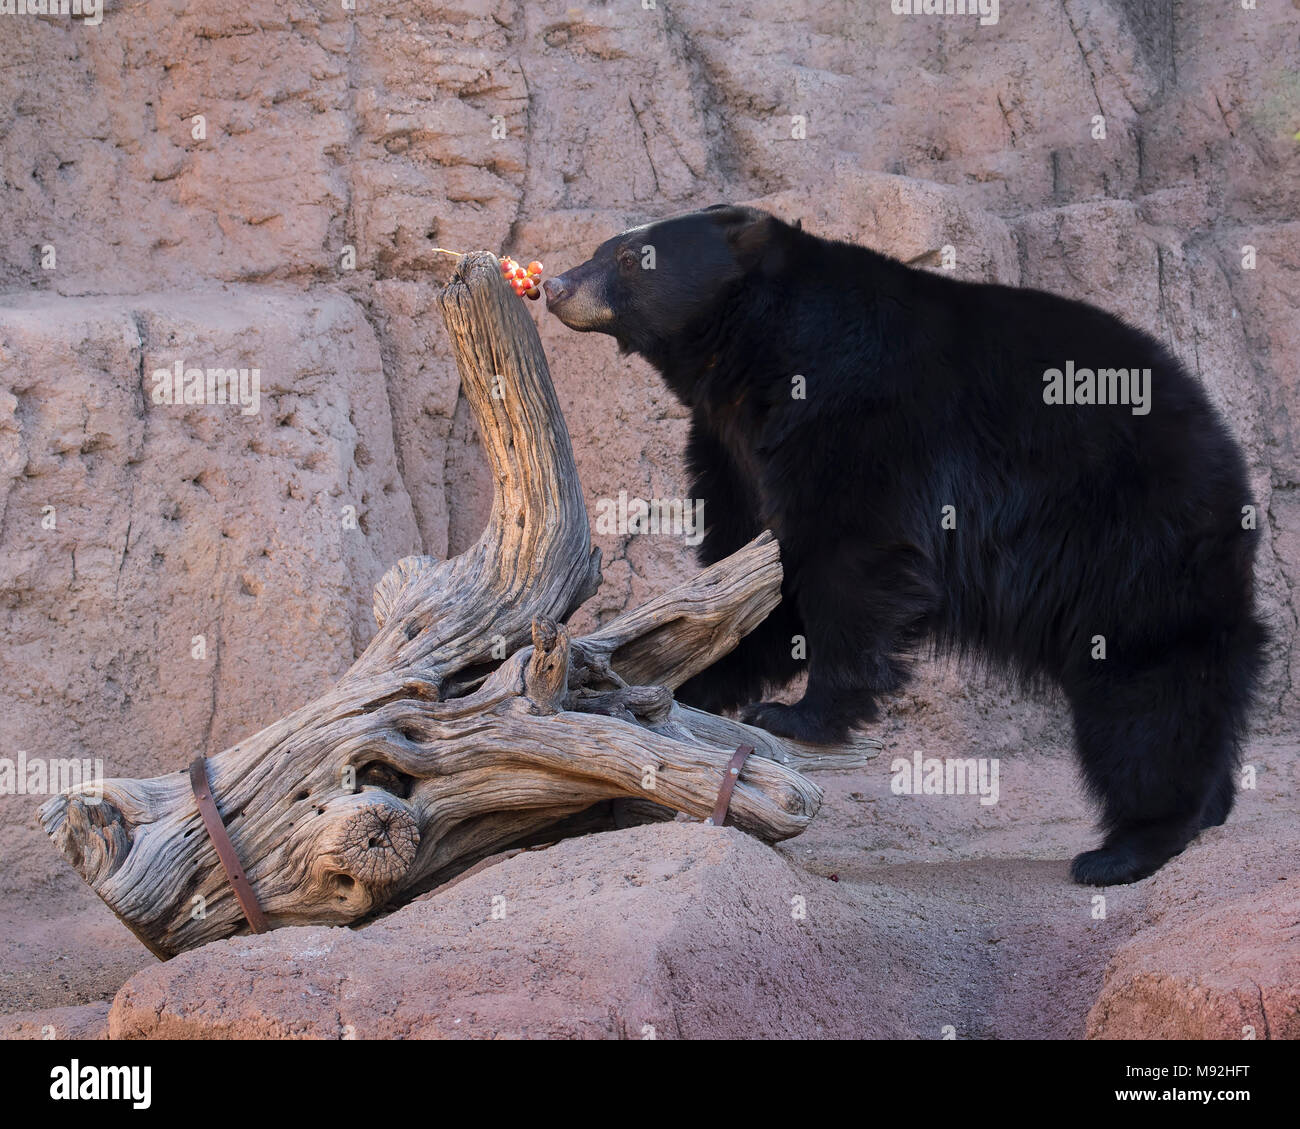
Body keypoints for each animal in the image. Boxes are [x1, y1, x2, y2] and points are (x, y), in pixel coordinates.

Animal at [543, 206, 1263, 884]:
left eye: (633, 257)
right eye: (604, 248)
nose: (554, 284)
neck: (754, 354)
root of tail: (1224, 450)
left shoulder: (862, 414)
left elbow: (853, 560)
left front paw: (795, 715)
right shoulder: (733, 446)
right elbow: (758, 569)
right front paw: (690, 680)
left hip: (1125, 533)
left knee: (1148, 680)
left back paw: (1129, 845)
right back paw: (1211, 807)